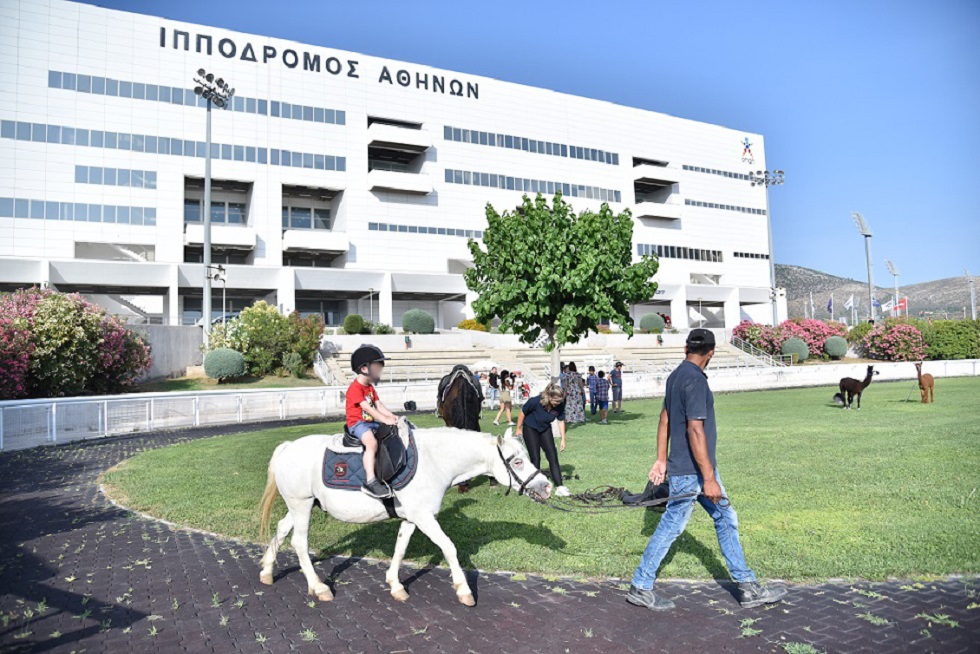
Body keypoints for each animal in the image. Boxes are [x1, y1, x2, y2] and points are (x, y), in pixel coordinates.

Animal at [258, 418, 552, 608]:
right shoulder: (424, 517)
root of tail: (287, 447)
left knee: (281, 530)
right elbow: (449, 547)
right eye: (517, 461)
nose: (546, 486)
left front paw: (395, 585)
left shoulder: (412, 518)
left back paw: (267, 571)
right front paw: (464, 590)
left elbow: (400, 549)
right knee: (299, 542)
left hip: (302, 505)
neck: (435, 460)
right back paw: (318, 587)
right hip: (302, 505)